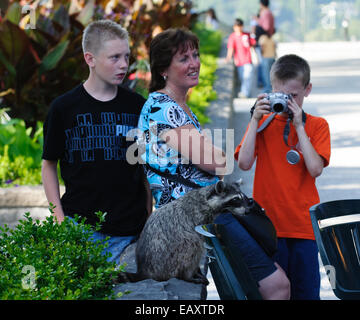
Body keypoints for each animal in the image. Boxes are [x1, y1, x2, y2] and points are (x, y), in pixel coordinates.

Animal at [116, 180, 249, 284]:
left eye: (242, 197)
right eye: (235, 199)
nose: (248, 210)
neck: (205, 199)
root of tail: (145, 270)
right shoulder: (198, 217)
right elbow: (199, 240)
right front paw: (193, 271)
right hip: (171, 255)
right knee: (192, 245)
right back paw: (187, 276)